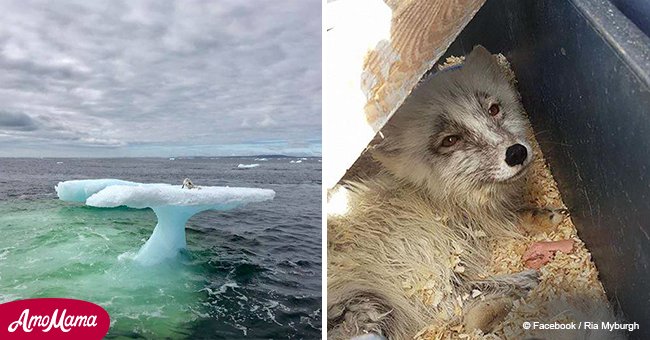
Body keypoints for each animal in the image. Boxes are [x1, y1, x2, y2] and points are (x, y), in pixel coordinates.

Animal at [326, 45, 620, 340]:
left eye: (494, 109)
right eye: (450, 140)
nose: (516, 153)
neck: (434, 201)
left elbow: (512, 219)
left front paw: (539, 217)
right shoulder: (430, 280)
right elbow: (478, 289)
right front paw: (531, 280)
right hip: (366, 307)